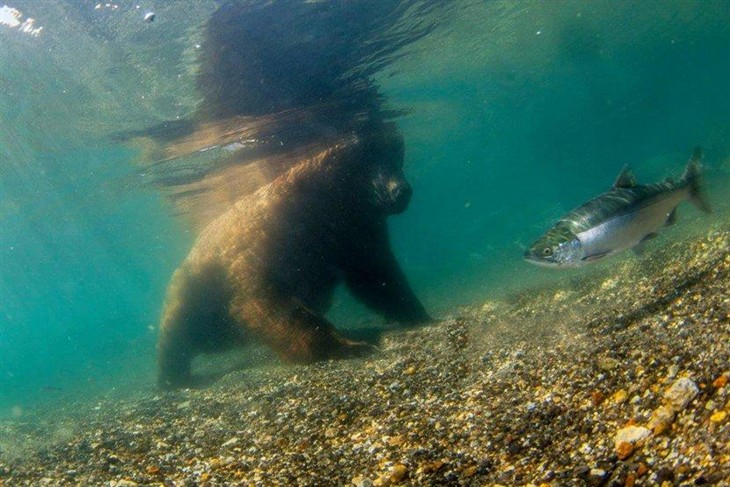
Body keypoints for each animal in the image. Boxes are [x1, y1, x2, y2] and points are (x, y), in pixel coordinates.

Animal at [158, 126, 432, 388]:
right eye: (368, 158)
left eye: (396, 157)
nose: (401, 191)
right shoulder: (269, 239)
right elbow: (266, 301)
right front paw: (347, 346)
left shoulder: (351, 235)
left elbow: (376, 277)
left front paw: (418, 314)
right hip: (191, 288)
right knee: (176, 332)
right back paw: (173, 377)